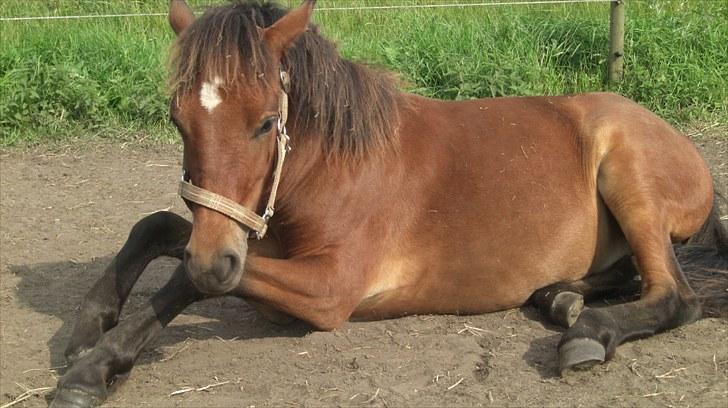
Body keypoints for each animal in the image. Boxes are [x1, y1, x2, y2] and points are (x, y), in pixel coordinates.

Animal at [48, 1, 724, 406]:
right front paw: (86, 327)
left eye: (267, 122)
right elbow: (161, 228)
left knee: (676, 295)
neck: (338, 166)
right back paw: (562, 299)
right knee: (626, 274)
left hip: (629, 179)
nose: (217, 258)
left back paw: (589, 332)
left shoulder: (329, 290)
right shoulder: (243, 239)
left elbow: (188, 279)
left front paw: (94, 367)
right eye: (177, 120)